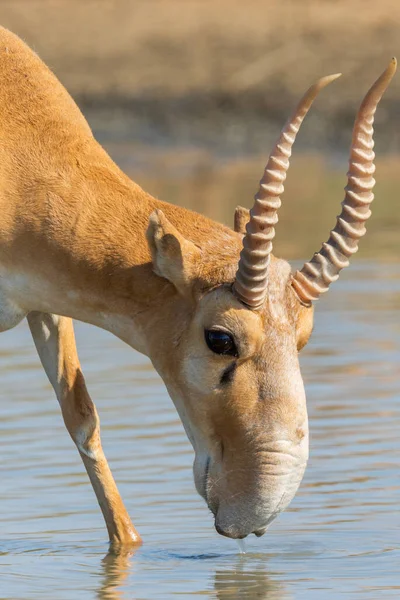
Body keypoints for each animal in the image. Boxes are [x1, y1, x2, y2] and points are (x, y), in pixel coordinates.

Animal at [0, 28, 396, 548]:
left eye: (304, 336)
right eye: (221, 339)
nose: (249, 517)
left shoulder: (44, 303)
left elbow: (82, 418)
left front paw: (128, 545)